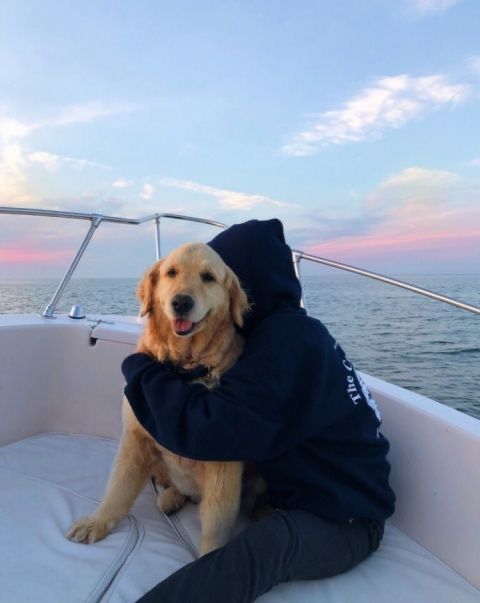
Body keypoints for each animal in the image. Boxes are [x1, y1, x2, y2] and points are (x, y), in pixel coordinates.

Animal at [68, 243, 255, 556]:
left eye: (208, 277)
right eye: (171, 272)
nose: (181, 302)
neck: (183, 367)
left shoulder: (224, 465)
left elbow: (216, 525)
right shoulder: (135, 437)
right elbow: (118, 487)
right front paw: (98, 521)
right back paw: (170, 498)